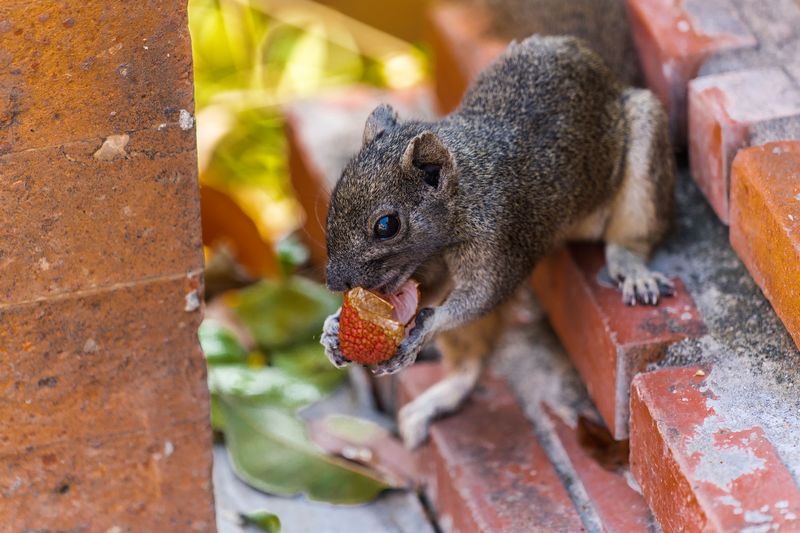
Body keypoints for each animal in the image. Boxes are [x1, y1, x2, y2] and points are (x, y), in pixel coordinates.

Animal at [320, 35, 675, 448]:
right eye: (335, 197)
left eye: (387, 225)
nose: (335, 282)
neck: (467, 190)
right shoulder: (429, 265)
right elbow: (429, 289)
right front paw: (333, 329)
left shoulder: (500, 237)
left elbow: (482, 295)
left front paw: (423, 329)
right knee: (469, 365)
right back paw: (437, 400)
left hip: (644, 142)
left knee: (633, 235)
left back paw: (633, 269)